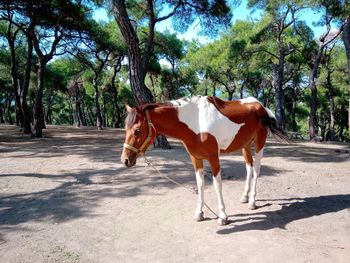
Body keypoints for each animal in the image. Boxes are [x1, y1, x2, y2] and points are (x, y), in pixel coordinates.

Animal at [120, 96, 288, 226]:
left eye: (137, 130)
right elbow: (200, 184)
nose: (125, 160)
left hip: (259, 143)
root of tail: (262, 107)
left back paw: (252, 201)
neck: (196, 121)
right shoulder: (196, 158)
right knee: (249, 167)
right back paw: (245, 197)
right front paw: (199, 213)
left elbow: (217, 185)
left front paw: (223, 216)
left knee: (256, 169)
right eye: (125, 129)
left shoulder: (213, 157)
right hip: (245, 145)